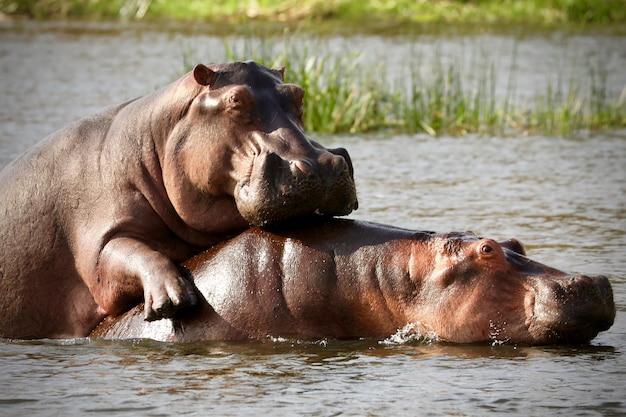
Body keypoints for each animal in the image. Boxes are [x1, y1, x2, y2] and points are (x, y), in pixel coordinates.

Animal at [0, 60, 356, 338]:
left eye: (298, 94)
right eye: (235, 101)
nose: (320, 166)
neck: (156, 139)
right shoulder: (96, 239)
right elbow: (129, 252)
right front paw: (171, 299)